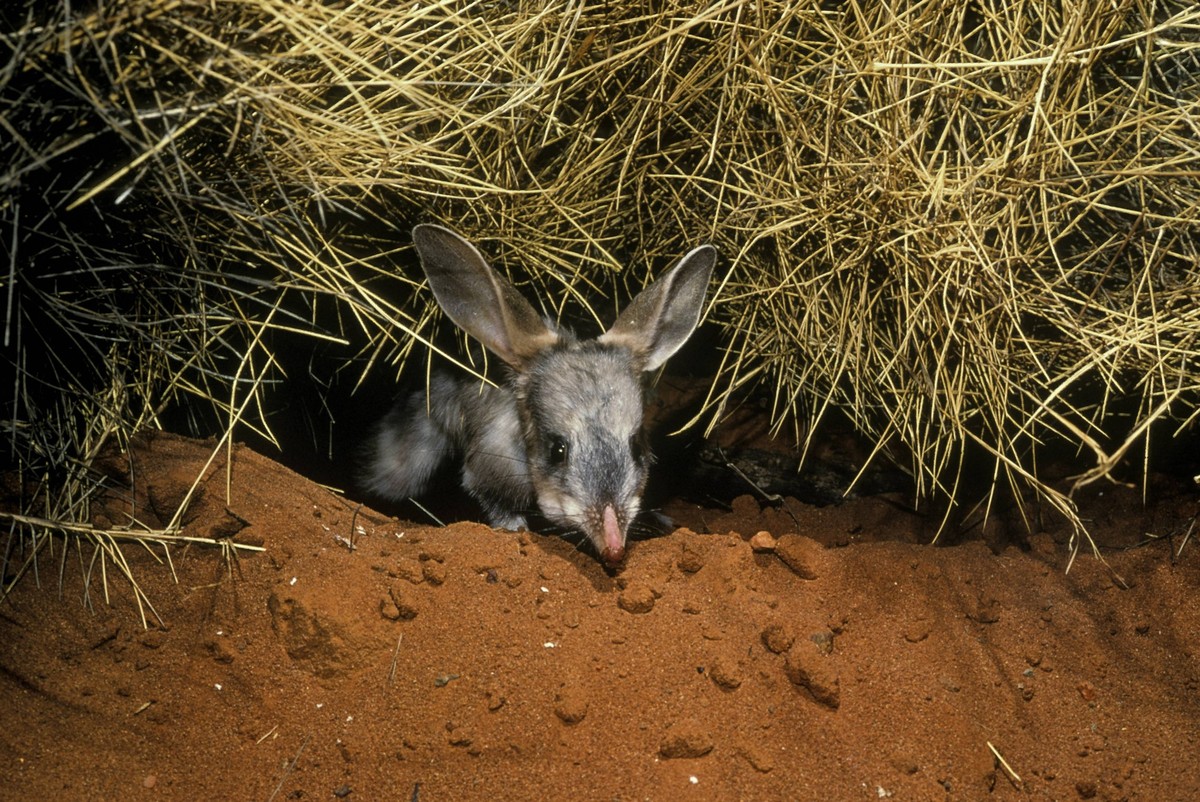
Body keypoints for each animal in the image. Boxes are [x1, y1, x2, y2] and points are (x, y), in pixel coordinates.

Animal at [364, 224, 717, 567]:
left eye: (636, 448)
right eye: (556, 451)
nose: (614, 549)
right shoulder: (489, 462)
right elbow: (492, 500)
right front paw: (515, 529)